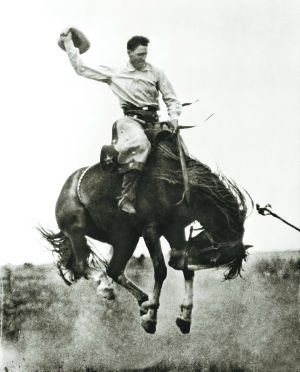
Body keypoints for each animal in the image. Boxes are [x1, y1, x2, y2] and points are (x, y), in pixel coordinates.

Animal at [38, 117, 252, 334]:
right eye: (215, 257)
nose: (175, 260)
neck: (175, 183)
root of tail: (69, 185)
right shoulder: (150, 230)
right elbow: (161, 270)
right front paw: (151, 318)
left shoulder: (175, 230)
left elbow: (187, 271)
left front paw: (184, 317)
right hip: (78, 231)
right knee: (87, 266)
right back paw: (110, 290)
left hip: (124, 237)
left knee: (113, 270)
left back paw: (137, 300)